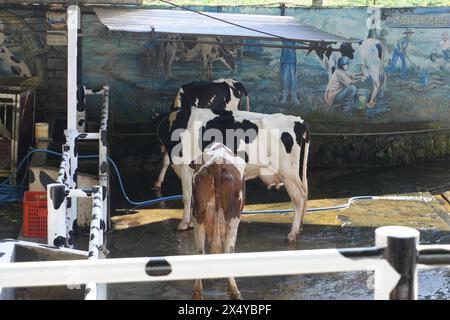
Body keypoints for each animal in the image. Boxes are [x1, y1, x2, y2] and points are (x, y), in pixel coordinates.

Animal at [158, 106, 310, 241]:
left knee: (299, 197)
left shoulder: (186, 169)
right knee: (304, 194)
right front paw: (190, 222)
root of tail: (298, 121)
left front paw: (183, 224)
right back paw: (300, 228)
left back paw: (293, 234)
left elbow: (186, 197)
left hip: (287, 172)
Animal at [190, 142, 246, 300]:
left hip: (197, 214)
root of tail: (216, 163)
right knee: (228, 250)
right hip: (233, 217)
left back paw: (197, 293)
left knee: (200, 250)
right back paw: (234, 291)